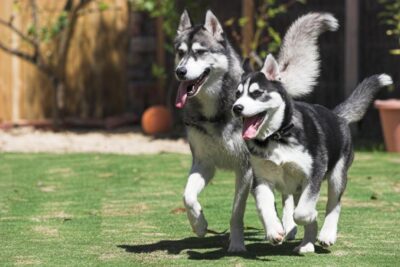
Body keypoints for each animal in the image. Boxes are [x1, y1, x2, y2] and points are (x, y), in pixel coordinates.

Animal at [174, 10, 338, 252]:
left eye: (200, 52)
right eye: (180, 52)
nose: (180, 71)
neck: (216, 111)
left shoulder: (246, 170)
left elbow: (237, 212)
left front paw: (237, 244)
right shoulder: (204, 163)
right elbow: (187, 196)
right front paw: (199, 224)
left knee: (288, 196)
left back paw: (289, 225)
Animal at [233, 54, 392, 253]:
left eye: (256, 93)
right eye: (237, 94)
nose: (236, 108)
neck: (277, 137)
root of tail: (336, 115)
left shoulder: (314, 174)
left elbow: (301, 213)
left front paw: (311, 217)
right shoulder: (261, 178)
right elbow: (265, 207)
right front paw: (274, 230)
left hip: (337, 176)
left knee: (334, 205)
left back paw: (326, 234)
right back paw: (307, 244)